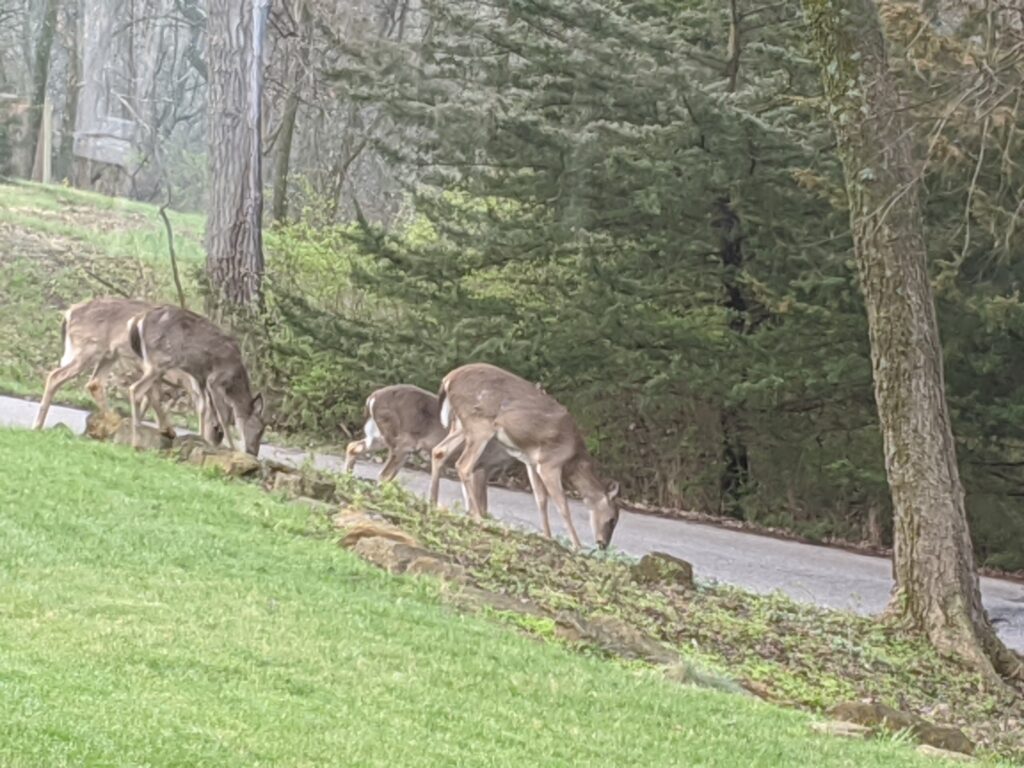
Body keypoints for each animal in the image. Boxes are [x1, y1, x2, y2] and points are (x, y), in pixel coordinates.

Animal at [33, 299, 222, 444]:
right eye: (217, 427)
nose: (214, 442)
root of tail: (69, 313)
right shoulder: (150, 366)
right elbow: (153, 396)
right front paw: (167, 430)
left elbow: (149, 397)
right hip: (88, 349)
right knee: (56, 376)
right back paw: (37, 425)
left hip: (108, 354)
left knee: (95, 383)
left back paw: (111, 422)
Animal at [128, 305, 266, 456]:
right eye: (260, 430)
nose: (253, 452)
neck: (234, 381)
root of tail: (137, 321)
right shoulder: (215, 380)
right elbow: (224, 417)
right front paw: (232, 448)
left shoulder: (200, 379)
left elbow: (202, 408)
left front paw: (201, 438)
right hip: (160, 361)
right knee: (135, 389)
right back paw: (136, 440)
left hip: (150, 362)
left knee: (149, 393)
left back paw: (163, 431)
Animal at [348, 382, 512, 514]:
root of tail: (372, 398)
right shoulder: (483, 465)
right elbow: (482, 506)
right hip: (402, 442)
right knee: (383, 475)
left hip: (381, 436)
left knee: (353, 447)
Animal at [430, 364, 614, 548]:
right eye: (613, 519)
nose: (603, 544)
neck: (574, 458)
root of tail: (448, 379)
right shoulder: (550, 463)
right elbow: (562, 504)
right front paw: (577, 545)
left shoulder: (532, 462)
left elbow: (541, 498)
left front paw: (548, 536)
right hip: (480, 424)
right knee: (463, 465)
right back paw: (477, 516)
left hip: (461, 425)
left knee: (439, 451)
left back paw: (433, 501)